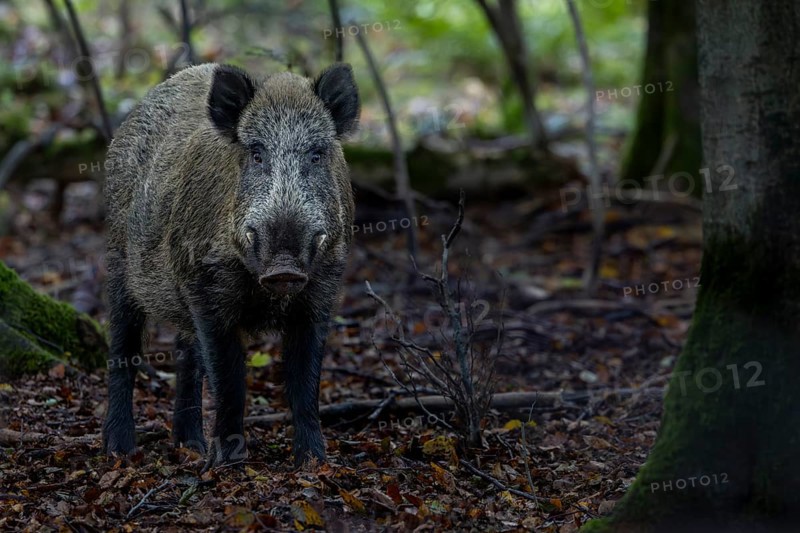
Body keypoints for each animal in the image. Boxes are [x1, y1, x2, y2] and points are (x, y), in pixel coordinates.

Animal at [101, 62, 359, 468]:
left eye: (317, 154)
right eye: (256, 153)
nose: (284, 265)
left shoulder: (322, 290)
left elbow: (305, 383)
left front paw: (313, 461)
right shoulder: (206, 288)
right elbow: (231, 382)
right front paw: (229, 463)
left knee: (187, 357)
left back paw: (190, 446)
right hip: (118, 259)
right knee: (123, 349)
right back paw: (120, 450)